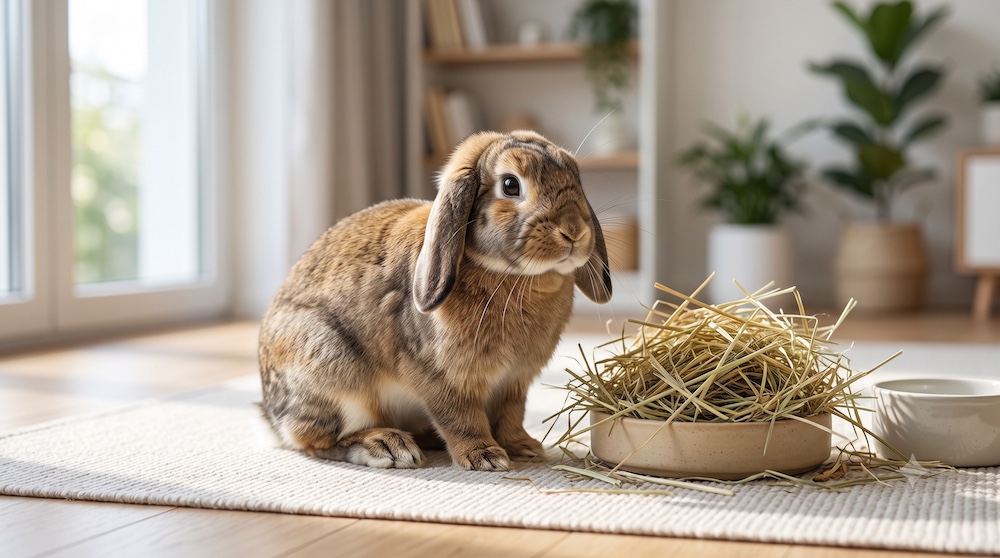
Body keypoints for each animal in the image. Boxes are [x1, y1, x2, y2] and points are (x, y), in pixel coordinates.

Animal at [258, 130, 612, 471]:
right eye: (510, 185)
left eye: (577, 178)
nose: (574, 231)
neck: (513, 276)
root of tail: (272, 417)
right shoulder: (441, 376)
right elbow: (460, 417)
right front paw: (485, 457)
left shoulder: (514, 383)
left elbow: (511, 416)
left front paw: (524, 448)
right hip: (333, 372)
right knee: (316, 441)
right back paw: (388, 446)